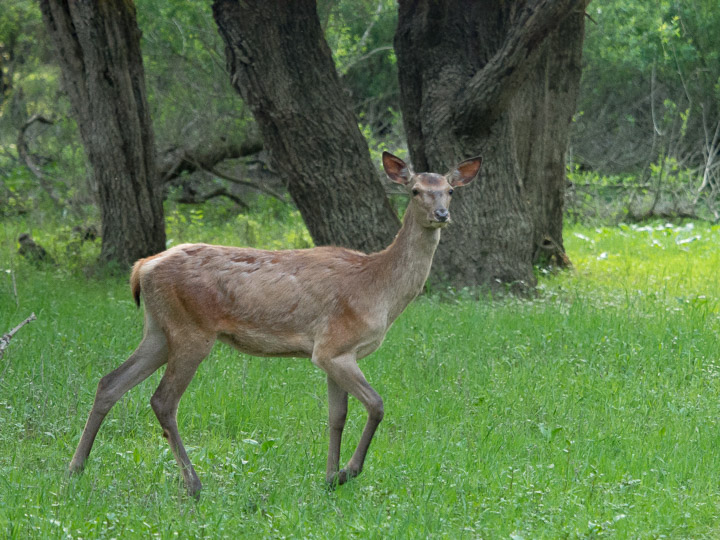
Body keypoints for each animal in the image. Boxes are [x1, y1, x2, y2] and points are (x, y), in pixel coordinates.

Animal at [67, 150, 484, 496]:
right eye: (415, 190)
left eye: (449, 190)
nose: (442, 215)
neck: (378, 289)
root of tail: (141, 268)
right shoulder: (334, 346)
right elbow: (377, 405)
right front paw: (348, 471)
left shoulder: (335, 353)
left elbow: (337, 416)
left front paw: (329, 478)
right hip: (191, 330)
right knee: (162, 400)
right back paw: (194, 484)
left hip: (158, 329)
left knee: (110, 382)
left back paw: (76, 468)